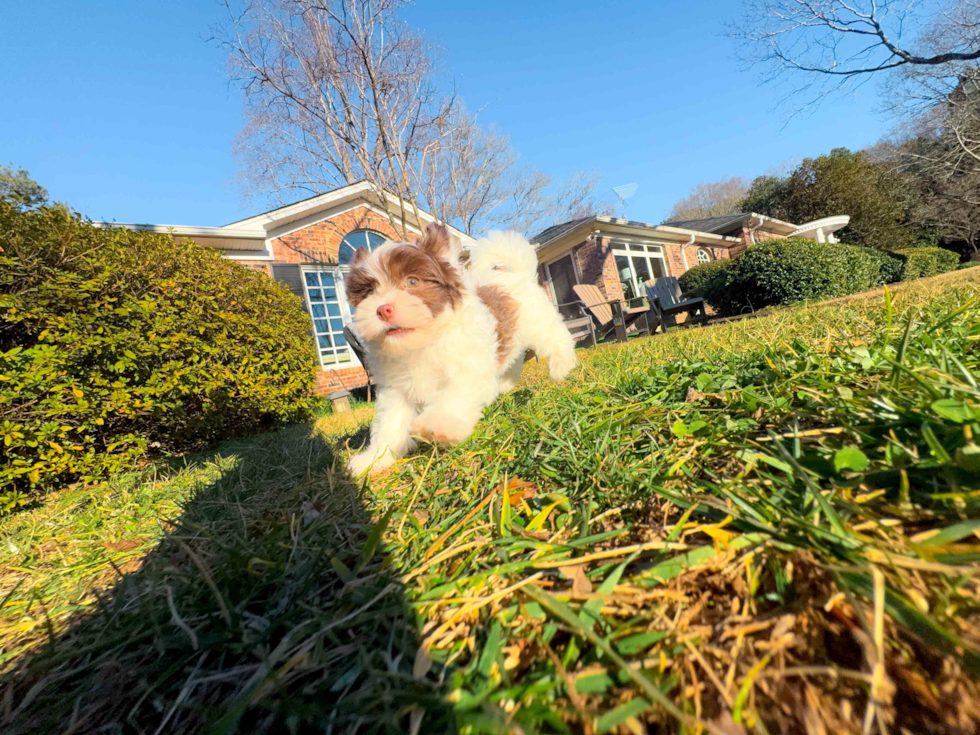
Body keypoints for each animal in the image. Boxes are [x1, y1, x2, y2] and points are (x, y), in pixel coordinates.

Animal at [346, 224, 576, 478]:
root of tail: (516, 273)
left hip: (537, 322)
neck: (423, 342)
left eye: (412, 282)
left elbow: (455, 394)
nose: (383, 309)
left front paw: (439, 425)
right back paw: (505, 384)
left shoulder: (470, 367)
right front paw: (374, 459)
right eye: (369, 292)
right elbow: (390, 423)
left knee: (556, 337)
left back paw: (562, 365)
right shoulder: (396, 390)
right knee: (512, 358)